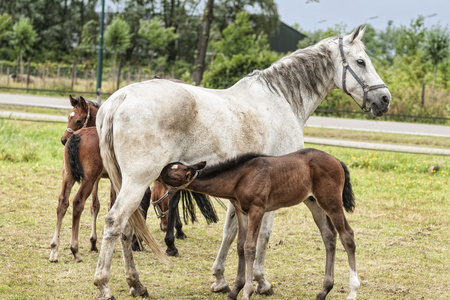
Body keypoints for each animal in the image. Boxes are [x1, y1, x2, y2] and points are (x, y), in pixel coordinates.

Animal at [160, 148, 360, 300]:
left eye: (170, 173)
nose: (158, 173)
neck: (240, 177)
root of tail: (338, 161)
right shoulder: (241, 212)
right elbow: (240, 246)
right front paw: (234, 291)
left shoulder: (257, 209)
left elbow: (250, 247)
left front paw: (246, 292)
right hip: (314, 203)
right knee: (329, 236)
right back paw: (323, 291)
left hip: (331, 202)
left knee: (347, 235)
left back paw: (352, 291)